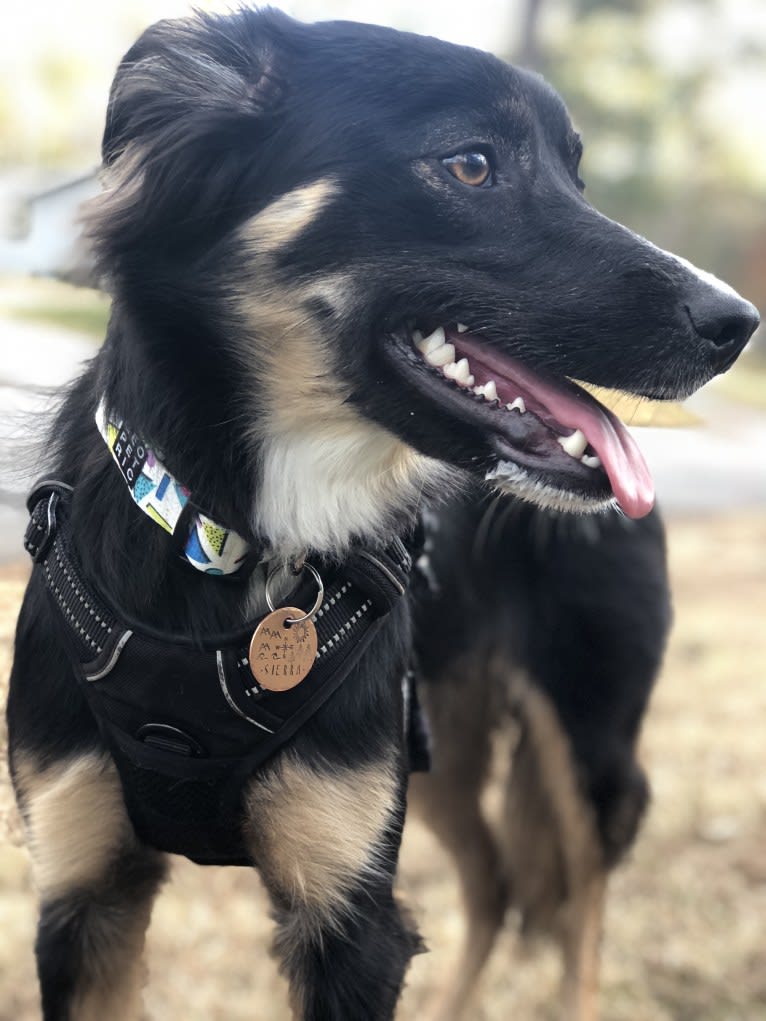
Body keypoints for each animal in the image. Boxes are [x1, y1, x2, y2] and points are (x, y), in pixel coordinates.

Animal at [7, 9, 763, 1021]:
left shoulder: (348, 915)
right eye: (472, 165)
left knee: (582, 903)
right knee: (494, 879)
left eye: (577, 177)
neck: (233, 538)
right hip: (437, 733)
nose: (738, 324)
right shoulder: (85, 894)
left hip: (582, 731)